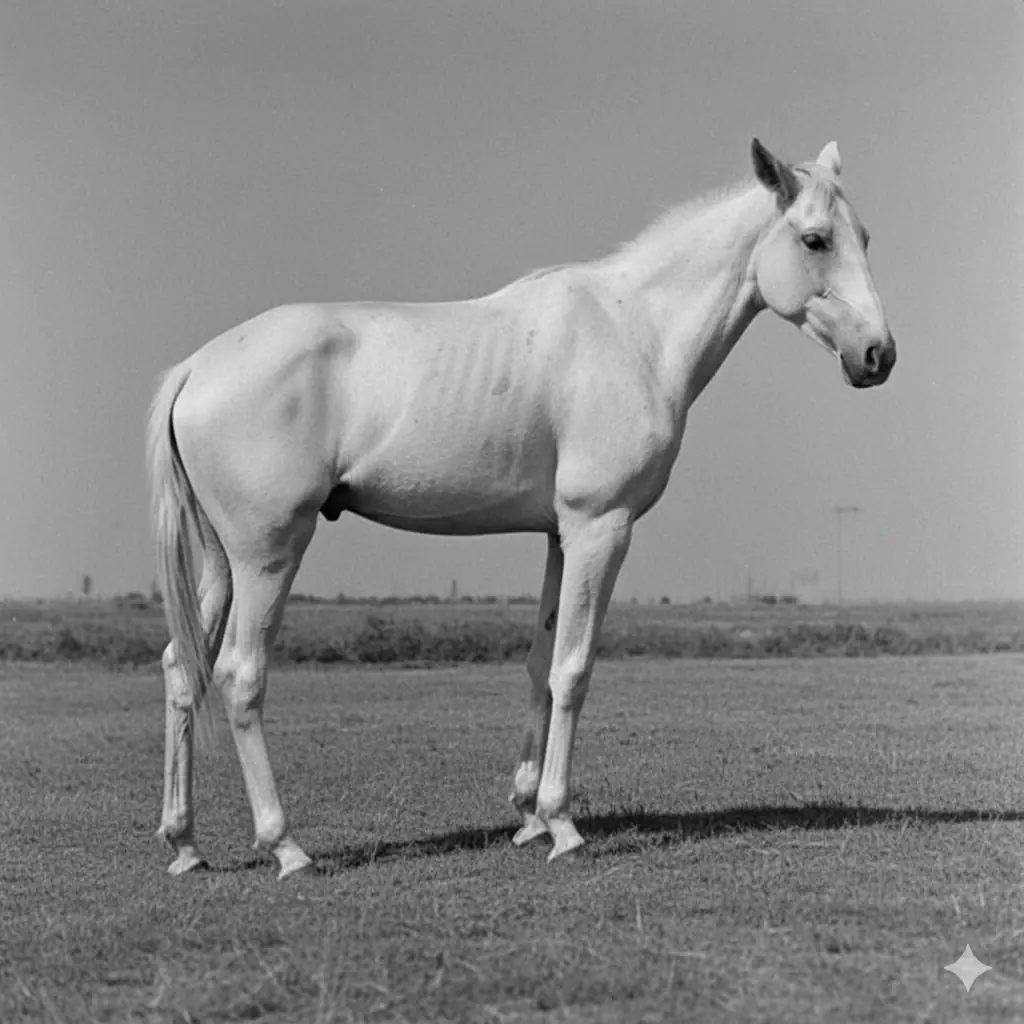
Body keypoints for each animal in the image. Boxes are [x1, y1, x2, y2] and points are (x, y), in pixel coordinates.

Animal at [147, 139, 896, 879]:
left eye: (864, 237)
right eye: (815, 239)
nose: (878, 355)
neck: (634, 329)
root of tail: (195, 368)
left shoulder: (560, 538)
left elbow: (541, 661)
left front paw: (529, 815)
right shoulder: (600, 529)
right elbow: (573, 668)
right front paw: (562, 824)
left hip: (222, 563)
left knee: (182, 668)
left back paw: (184, 844)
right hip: (268, 555)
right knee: (240, 677)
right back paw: (285, 846)